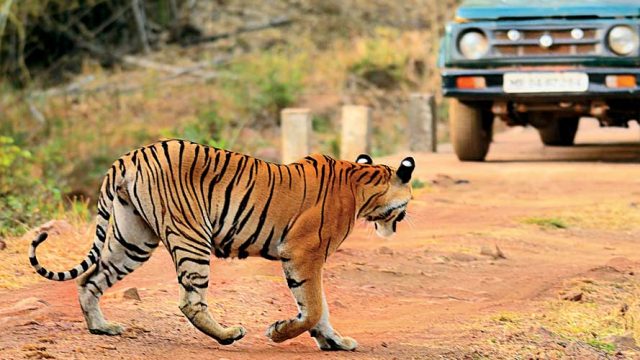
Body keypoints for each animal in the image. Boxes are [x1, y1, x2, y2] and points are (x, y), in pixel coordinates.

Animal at [30, 139, 418, 352]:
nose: (405, 216)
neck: (361, 184)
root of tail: (130, 157)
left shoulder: (305, 258)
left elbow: (317, 309)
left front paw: (334, 342)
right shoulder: (303, 254)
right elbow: (312, 308)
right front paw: (279, 333)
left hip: (133, 239)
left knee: (90, 280)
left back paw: (101, 327)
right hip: (191, 237)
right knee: (190, 301)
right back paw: (228, 335)